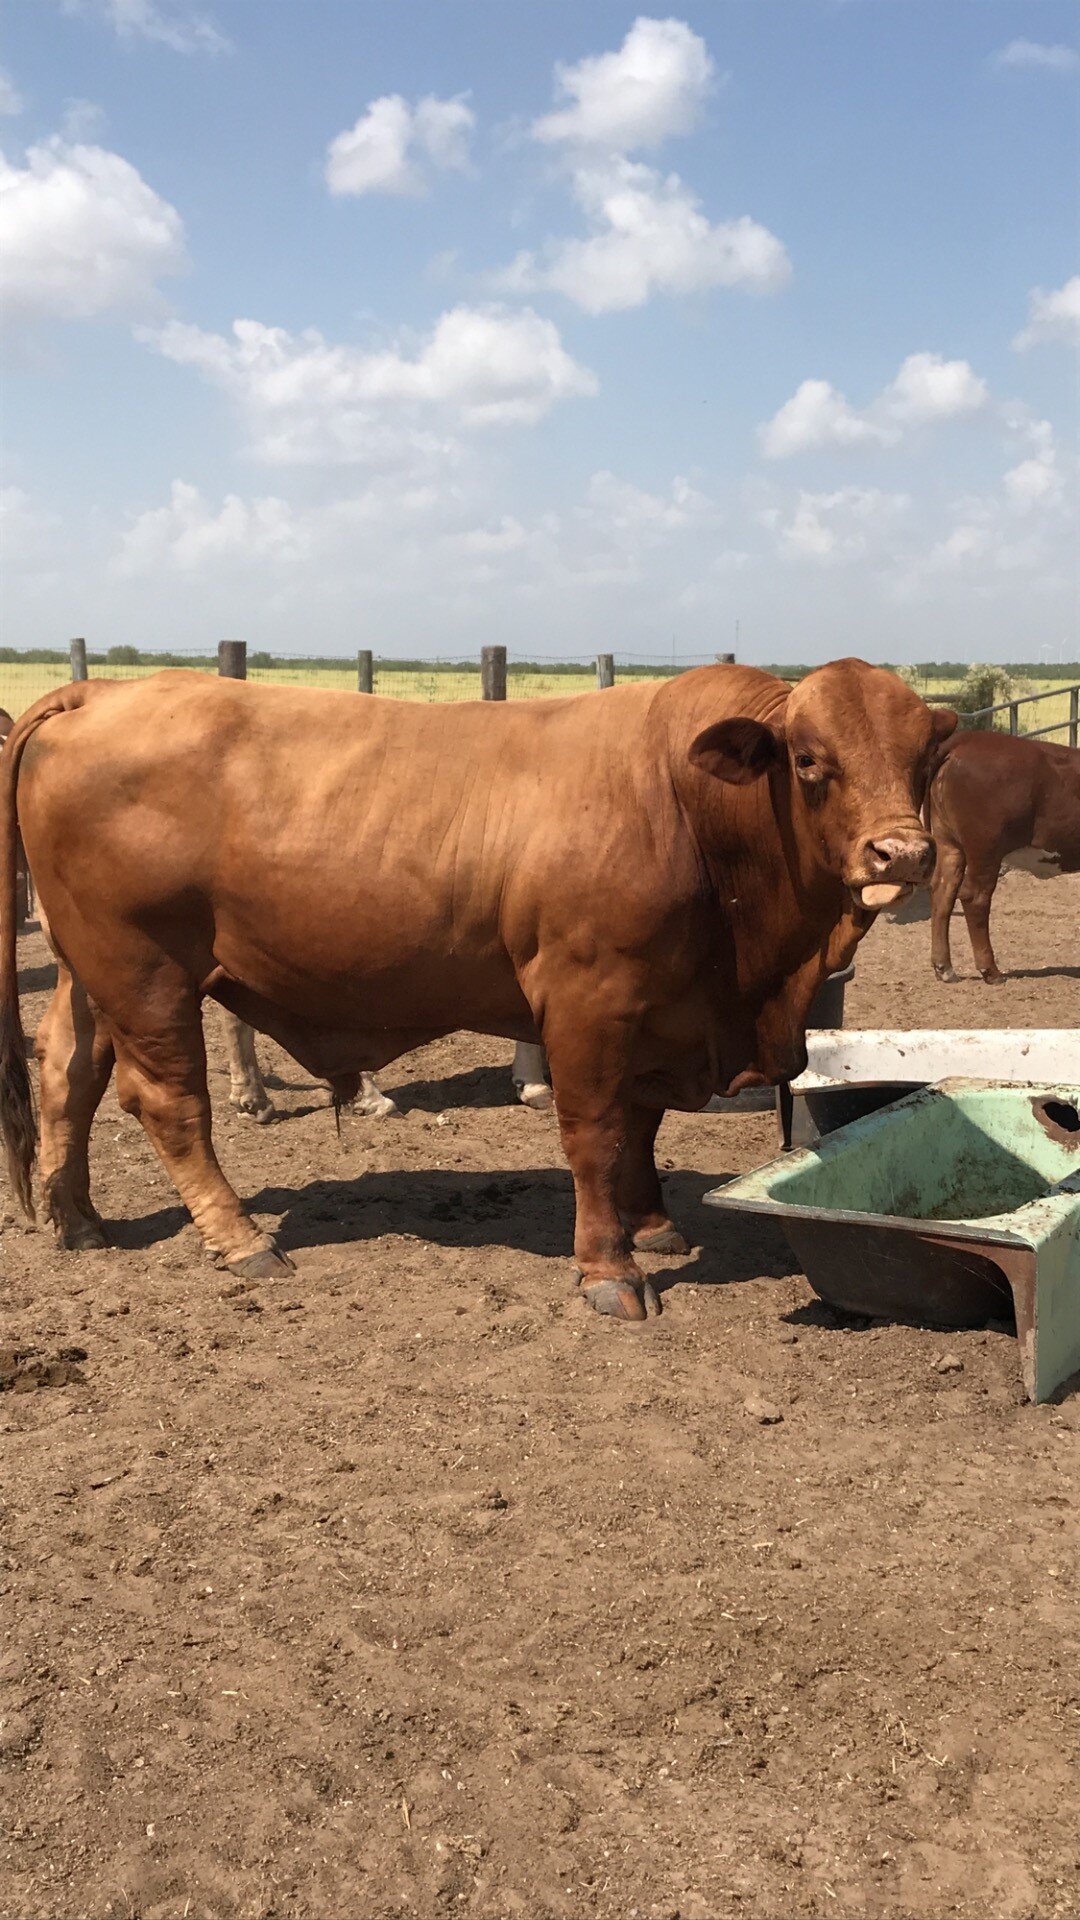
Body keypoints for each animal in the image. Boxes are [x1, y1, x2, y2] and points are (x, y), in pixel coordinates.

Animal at [0, 661, 952, 1321]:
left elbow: (641, 1126)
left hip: (92, 971)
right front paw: (610, 1270)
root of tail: (102, 691)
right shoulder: (589, 998)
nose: (902, 854)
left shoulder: (660, 1010)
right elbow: (597, 1133)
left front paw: (652, 1224)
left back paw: (78, 1221)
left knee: (68, 1074)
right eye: (810, 760)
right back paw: (241, 1241)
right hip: (146, 970)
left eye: (924, 759)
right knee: (167, 1102)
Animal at [928, 728, 1080, 983]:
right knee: (975, 897)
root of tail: (969, 738)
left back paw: (944, 968)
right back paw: (990, 970)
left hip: (949, 843)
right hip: (985, 849)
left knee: (943, 893)